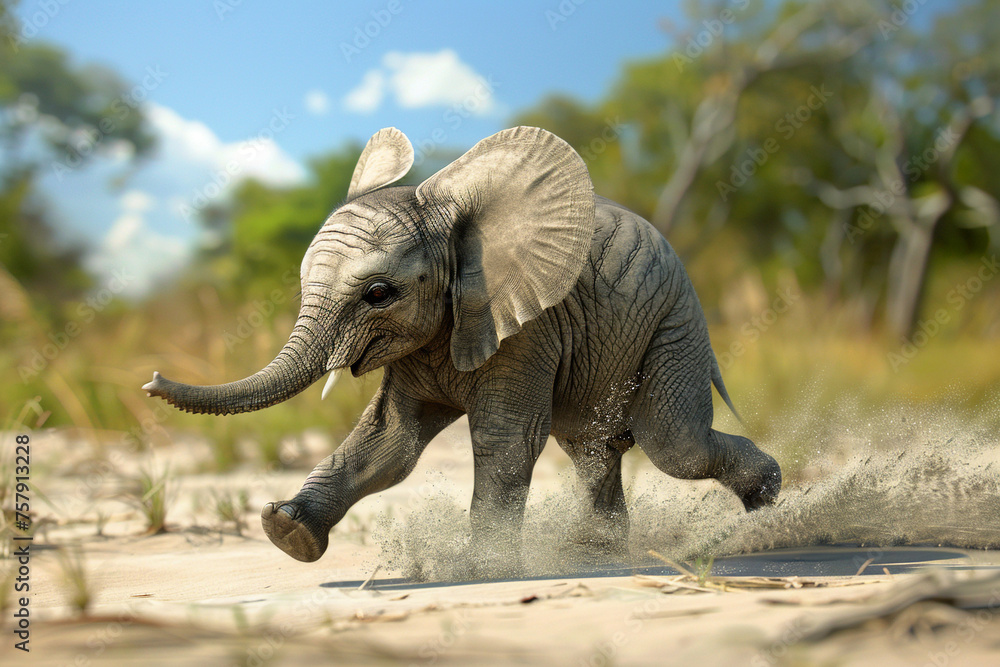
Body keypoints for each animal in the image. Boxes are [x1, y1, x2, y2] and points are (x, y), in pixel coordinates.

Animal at [143, 126, 781, 566]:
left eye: (379, 293)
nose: (149, 381)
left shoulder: (526, 326)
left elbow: (504, 439)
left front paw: (480, 567)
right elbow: (388, 443)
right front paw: (286, 531)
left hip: (676, 323)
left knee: (674, 445)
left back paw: (771, 503)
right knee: (593, 449)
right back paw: (596, 553)